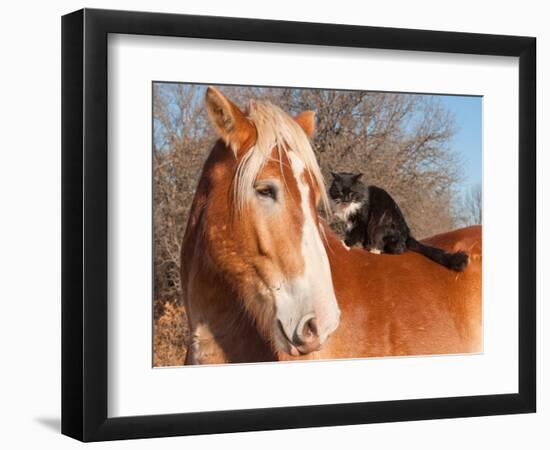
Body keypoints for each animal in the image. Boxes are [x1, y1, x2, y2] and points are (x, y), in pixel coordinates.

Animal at [330, 171, 472, 270]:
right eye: (340, 192)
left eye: (351, 192)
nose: (346, 199)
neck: (347, 207)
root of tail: (408, 234)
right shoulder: (349, 223)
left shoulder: (362, 221)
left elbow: (354, 234)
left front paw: (344, 244)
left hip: (381, 227)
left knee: (397, 249)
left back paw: (375, 250)